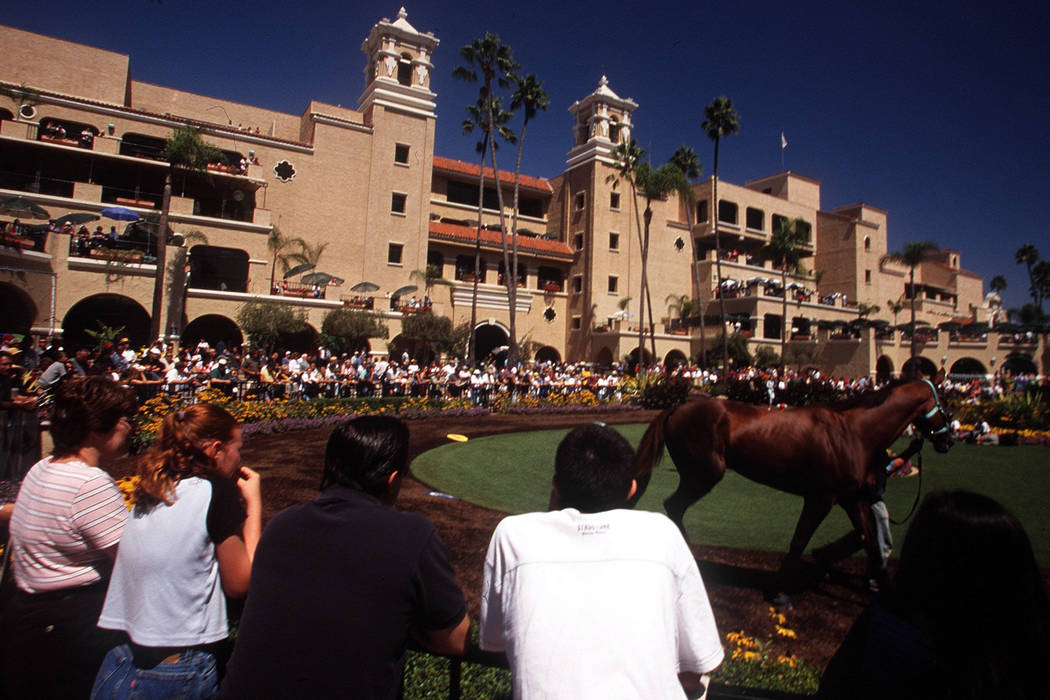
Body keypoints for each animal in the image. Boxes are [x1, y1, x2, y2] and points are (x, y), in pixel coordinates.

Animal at [630, 377, 953, 604]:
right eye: (944, 402)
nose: (947, 440)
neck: (853, 433)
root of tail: (676, 408)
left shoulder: (853, 499)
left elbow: (872, 544)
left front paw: (887, 591)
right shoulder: (821, 497)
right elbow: (799, 541)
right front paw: (779, 592)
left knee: (674, 507)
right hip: (704, 475)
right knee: (674, 506)